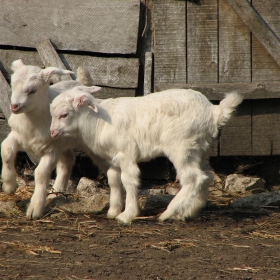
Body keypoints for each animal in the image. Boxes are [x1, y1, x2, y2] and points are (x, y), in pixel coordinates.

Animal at [0, 60, 99, 220]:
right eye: (13, 86)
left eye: (32, 91)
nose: (14, 106)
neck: (32, 121)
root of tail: (80, 82)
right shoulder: (18, 135)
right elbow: (6, 150)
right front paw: (9, 186)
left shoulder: (52, 149)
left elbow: (41, 173)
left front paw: (35, 208)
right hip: (62, 143)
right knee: (68, 159)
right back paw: (55, 192)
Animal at [50, 85, 243, 223]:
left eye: (64, 115)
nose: (52, 133)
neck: (98, 122)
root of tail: (213, 112)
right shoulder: (113, 158)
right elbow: (113, 180)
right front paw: (113, 211)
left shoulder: (126, 153)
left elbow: (129, 180)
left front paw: (127, 215)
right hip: (201, 149)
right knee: (207, 176)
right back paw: (187, 212)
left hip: (182, 146)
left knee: (193, 178)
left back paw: (168, 213)